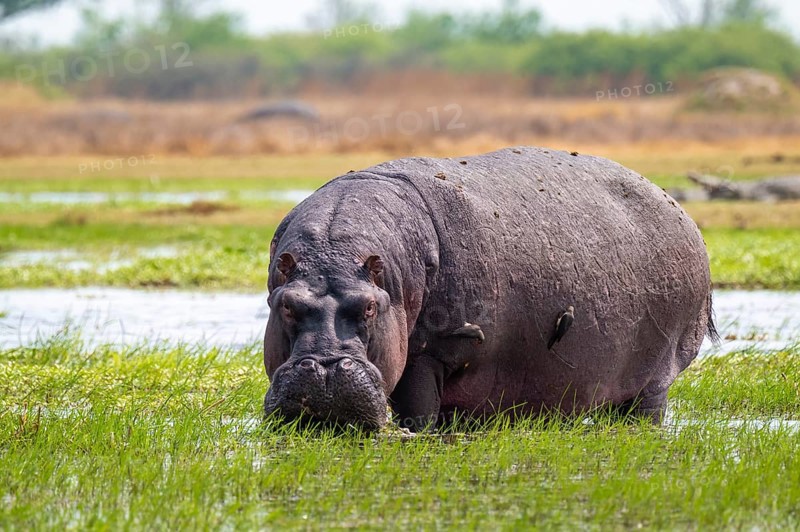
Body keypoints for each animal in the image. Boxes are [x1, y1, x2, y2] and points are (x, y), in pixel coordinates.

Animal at [263, 146, 718, 431]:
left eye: (370, 308)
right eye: (287, 305)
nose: (325, 369)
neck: (335, 255)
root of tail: (678, 208)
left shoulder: (432, 353)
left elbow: (418, 415)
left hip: (656, 377)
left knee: (647, 409)